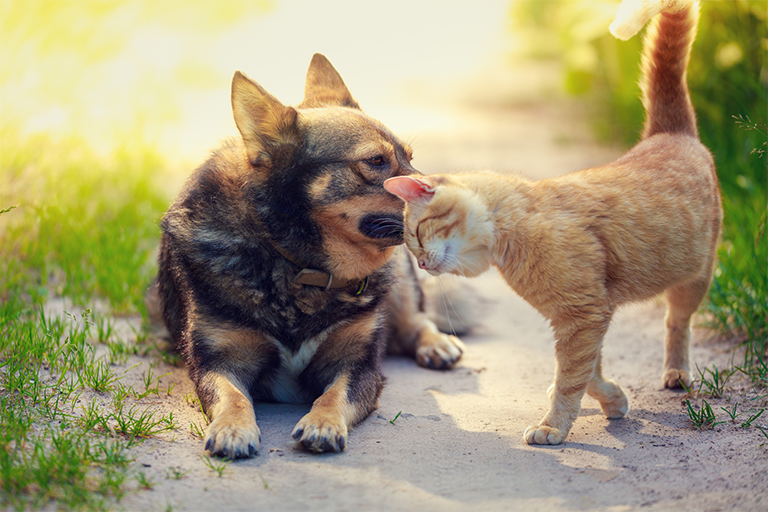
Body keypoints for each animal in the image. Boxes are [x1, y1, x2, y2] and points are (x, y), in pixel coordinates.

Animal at [147, 54, 464, 458]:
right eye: (375, 160)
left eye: (410, 157)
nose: (457, 194)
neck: (299, 264)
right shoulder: (217, 362)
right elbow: (232, 395)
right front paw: (233, 427)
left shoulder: (358, 366)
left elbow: (334, 395)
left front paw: (322, 422)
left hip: (401, 276)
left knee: (415, 320)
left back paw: (437, 344)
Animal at [384, 0, 720, 444]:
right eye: (411, 248)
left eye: (418, 235)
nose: (421, 264)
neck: (514, 228)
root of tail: (669, 132)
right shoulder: (586, 317)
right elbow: (587, 372)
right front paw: (613, 399)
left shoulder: (582, 316)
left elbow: (572, 378)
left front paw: (553, 425)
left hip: (694, 279)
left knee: (676, 323)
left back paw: (677, 372)